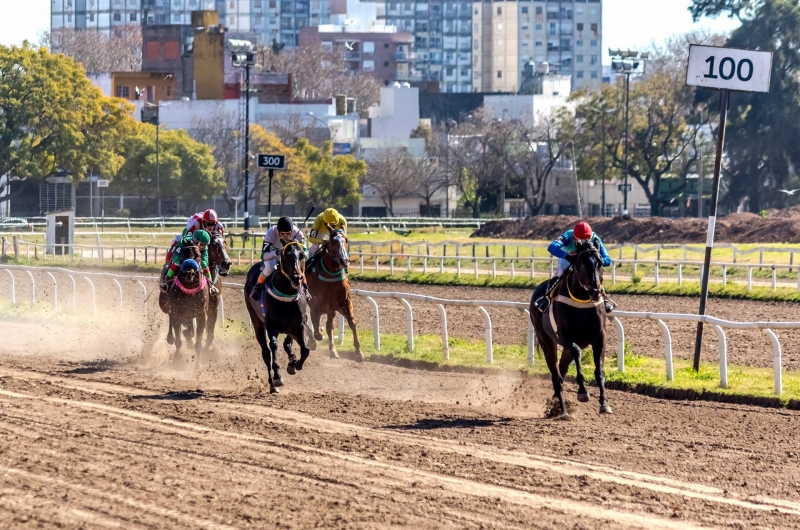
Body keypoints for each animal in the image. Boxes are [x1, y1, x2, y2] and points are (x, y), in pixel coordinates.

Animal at [304, 229, 360, 360]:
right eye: (333, 241)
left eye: (345, 240)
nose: (344, 261)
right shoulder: (315, 307)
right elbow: (317, 330)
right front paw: (316, 335)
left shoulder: (342, 303)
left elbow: (351, 322)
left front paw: (358, 352)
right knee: (304, 320)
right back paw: (312, 340)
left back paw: (333, 350)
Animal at [528, 242, 608, 416]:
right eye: (582, 264)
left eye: (600, 263)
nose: (596, 291)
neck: (583, 301)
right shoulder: (565, 337)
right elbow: (577, 352)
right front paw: (583, 392)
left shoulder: (600, 336)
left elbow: (599, 370)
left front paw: (604, 404)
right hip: (546, 340)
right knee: (555, 374)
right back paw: (562, 410)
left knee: (562, 370)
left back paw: (556, 404)